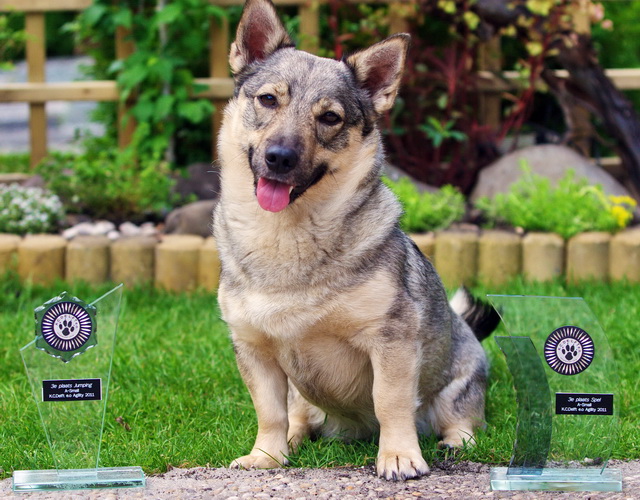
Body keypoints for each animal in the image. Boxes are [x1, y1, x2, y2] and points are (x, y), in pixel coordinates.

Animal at [213, 0, 499, 481]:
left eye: (329, 117)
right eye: (268, 99)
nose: (279, 157)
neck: (287, 234)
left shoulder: (391, 341)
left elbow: (391, 402)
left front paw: (399, 455)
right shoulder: (254, 349)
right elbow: (269, 412)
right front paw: (266, 456)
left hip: (461, 384)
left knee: (461, 418)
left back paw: (455, 442)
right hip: (303, 397)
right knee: (297, 416)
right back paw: (294, 441)